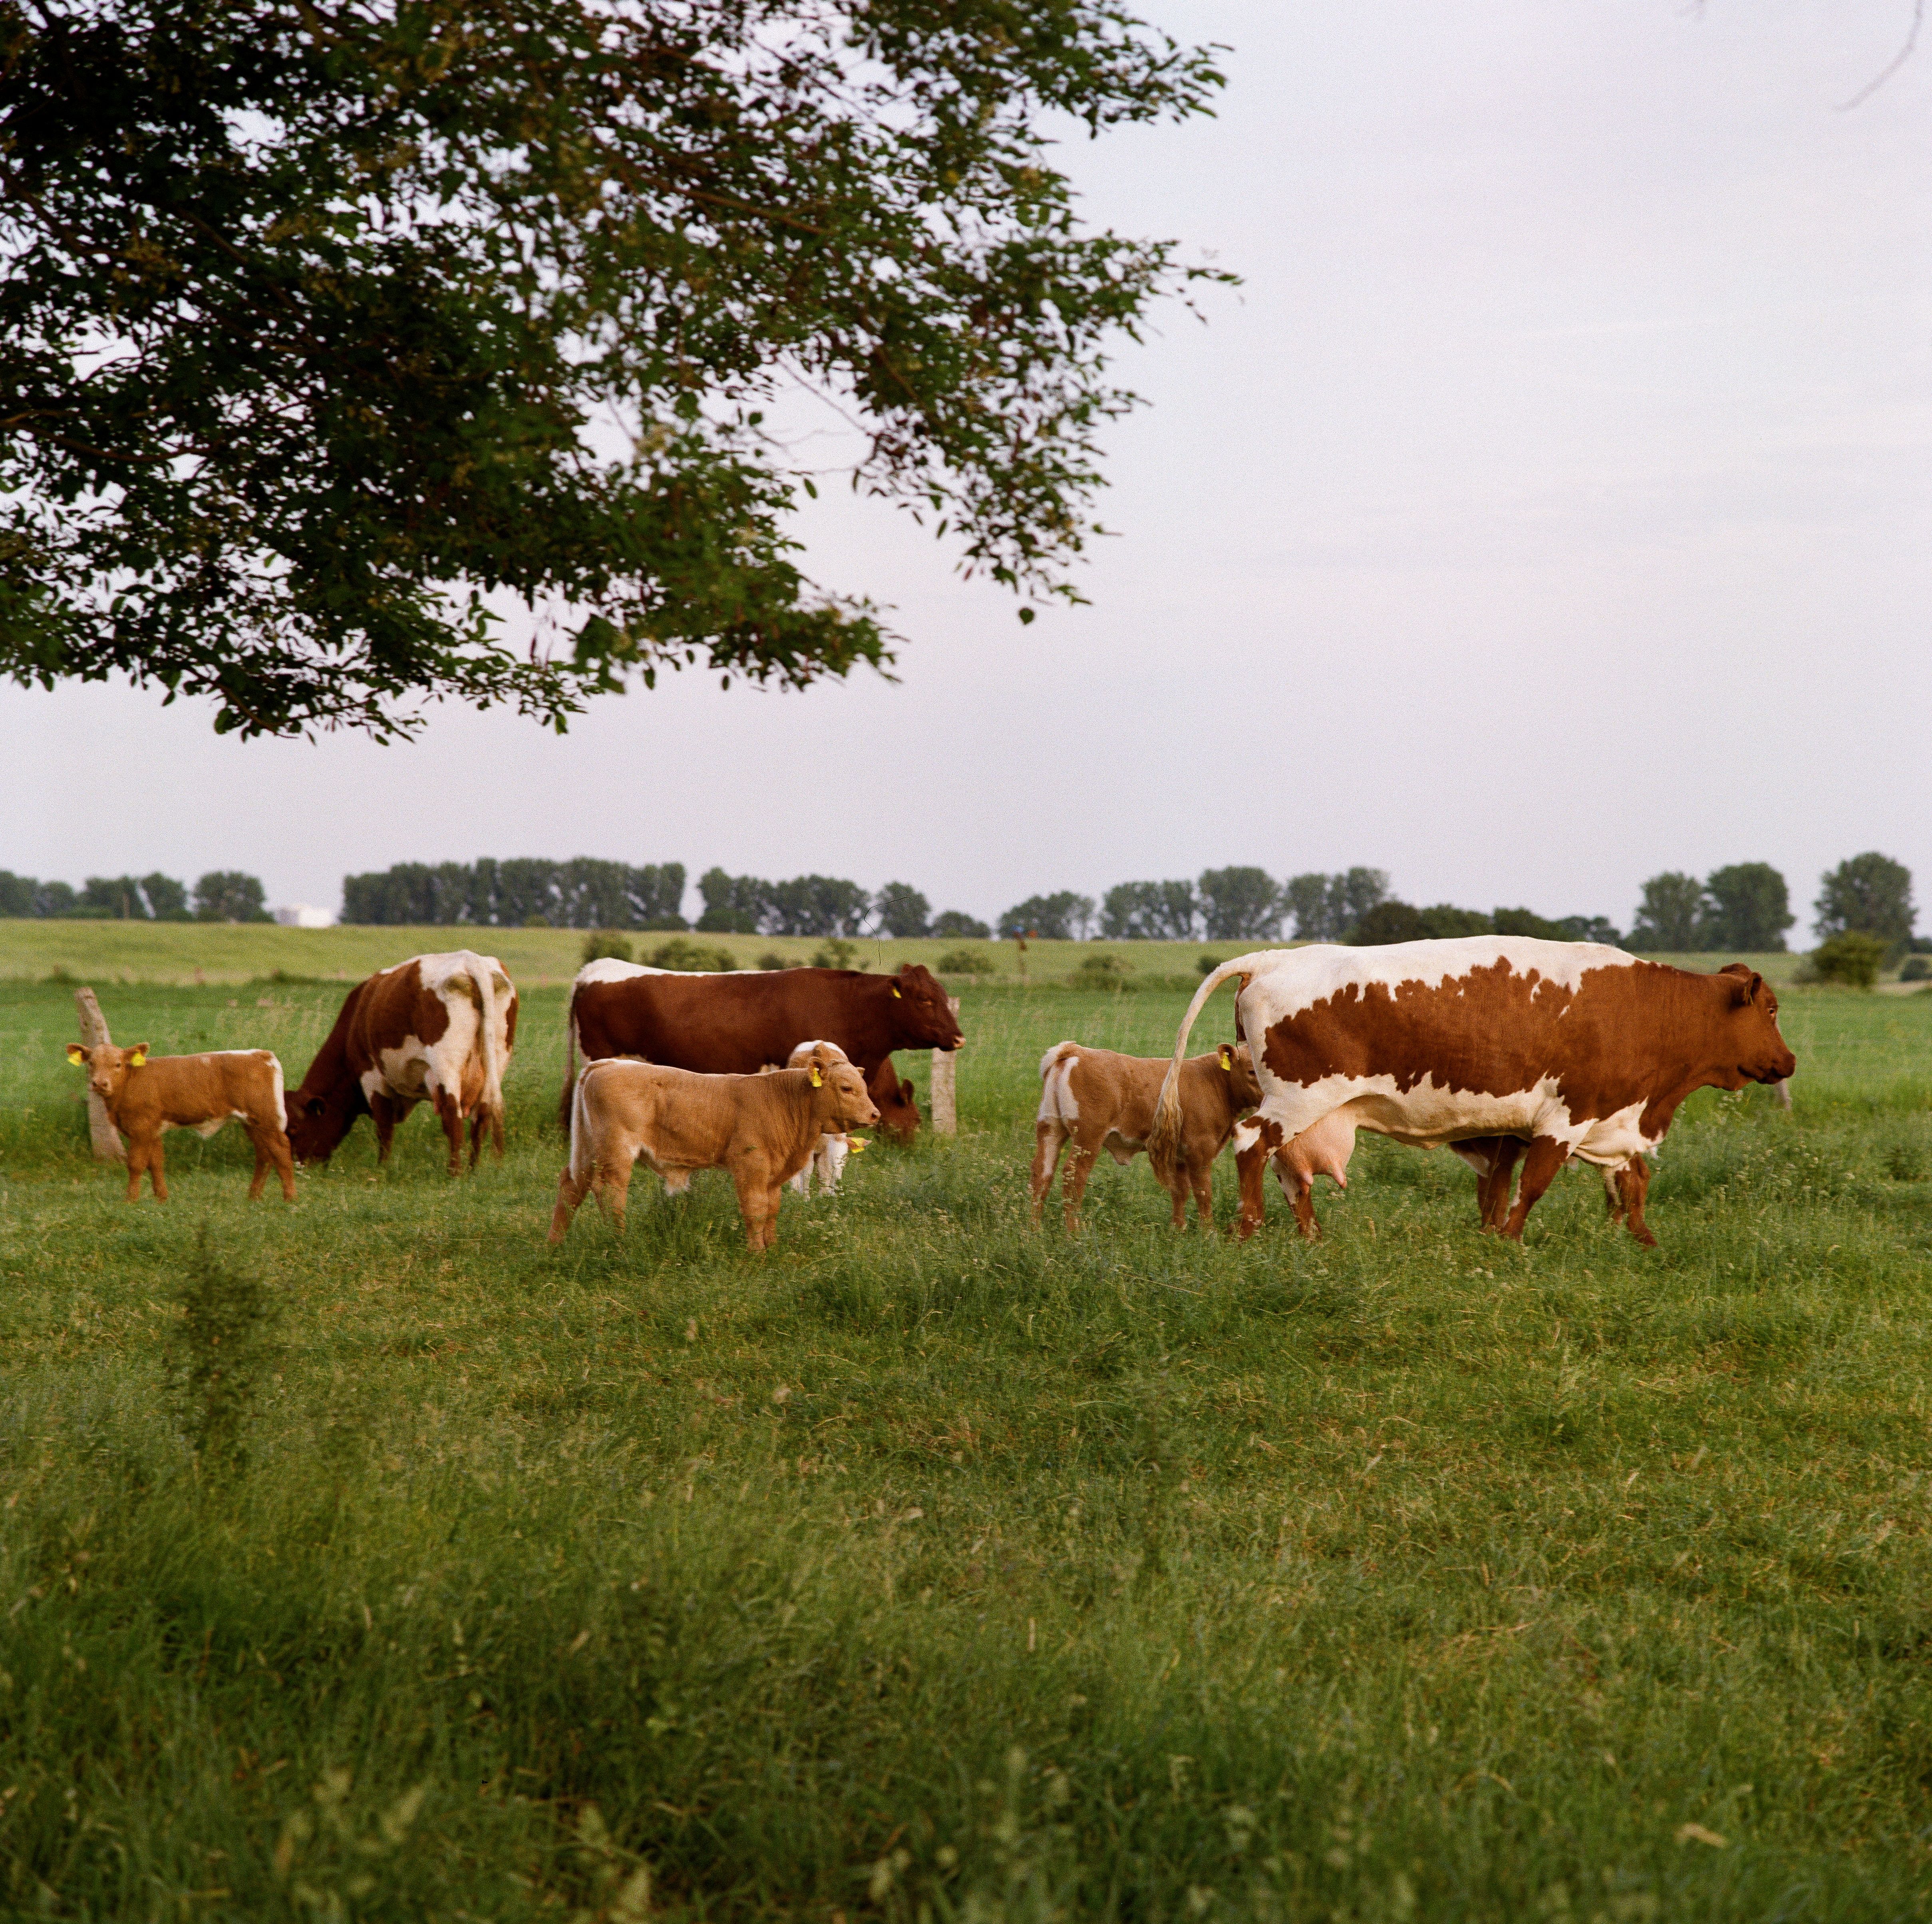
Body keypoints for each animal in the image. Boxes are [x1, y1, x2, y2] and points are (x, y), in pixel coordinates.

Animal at [65, 1043, 295, 1202]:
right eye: (91, 1063)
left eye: (118, 1064)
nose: (99, 1084)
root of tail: (260, 1053)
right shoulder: (153, 1130)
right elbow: (156, 1163)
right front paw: (162, 1199)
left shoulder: (141, 1127)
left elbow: (136, 1164)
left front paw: (130, 1200)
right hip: (252, 1122)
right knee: (265, 1155)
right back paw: (253, 1198)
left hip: (266, 1119)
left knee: (282, 1151)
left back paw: (290, 1200)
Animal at [285, 951, 517, 1174]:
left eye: (295, 1128)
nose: (296, 1165)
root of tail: (471, 960)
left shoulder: (371, 1076)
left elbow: (384, 1127)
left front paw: (382, 1168)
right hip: (495, 1064)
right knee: (482, 1119)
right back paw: (473, 1172)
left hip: (446, 1066)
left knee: (454, 1119)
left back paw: (454, 1174)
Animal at [548, 1054, 881, 1252]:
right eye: (847, 1088)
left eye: (864, 1086)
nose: (875, 1115)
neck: (784, 1100)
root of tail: (609, 1064)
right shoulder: (750, 1165)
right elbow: (756, 1209)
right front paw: (757, 1253)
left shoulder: (774, 1173)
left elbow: (772, 1209)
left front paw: (772, 1248)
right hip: (616, 1152)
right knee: (611, 1193)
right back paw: (619, 1242)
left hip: (589, 1149)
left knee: (572, 1186)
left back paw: (555, 1244)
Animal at [1031, 1040, 1261, 1231]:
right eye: (1252, 1071)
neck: (1216, 1082)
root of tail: (1077, 1050)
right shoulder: (1200, 1150)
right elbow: (1203, 1192)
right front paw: (1208, 1235)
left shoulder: (1178, 1155)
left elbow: (1180, 1191)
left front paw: (1178, 1231)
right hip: (1088, 1137)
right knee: (1074, 1176)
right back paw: (1074, 1232)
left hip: (1050, 1128)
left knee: (1042, 1173)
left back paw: (1034, 1232)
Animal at [1148, 939, 1795, 1245]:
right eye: (1770, 1008)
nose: (1787, 1061)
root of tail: (1274, 958)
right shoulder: (1567, 1115)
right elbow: (1533, 1186)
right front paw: (1509, 1242)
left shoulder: (1606, 1117)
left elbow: (1629, 1183)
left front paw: (1645, 1242)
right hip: (1294, 1100)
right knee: (1252, 1146)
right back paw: (1249, 1228)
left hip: (1300, 1108)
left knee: (1290, 1170)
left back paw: (1311, 1237)